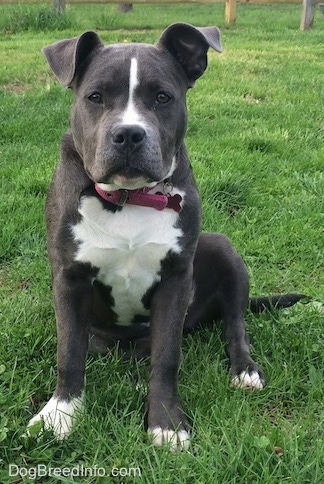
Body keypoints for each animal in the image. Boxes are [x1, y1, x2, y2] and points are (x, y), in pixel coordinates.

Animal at [27, 24, 304, 452]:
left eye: (162, 97)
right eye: (95, 97)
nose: (128, 134)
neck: (129, 198)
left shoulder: (175, 279)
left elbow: (168, 356)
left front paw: (167, 423)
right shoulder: (69, 278)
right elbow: (69, 352)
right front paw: (59, 415)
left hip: (221, 247)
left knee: (235, 325)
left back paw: (244, 370)